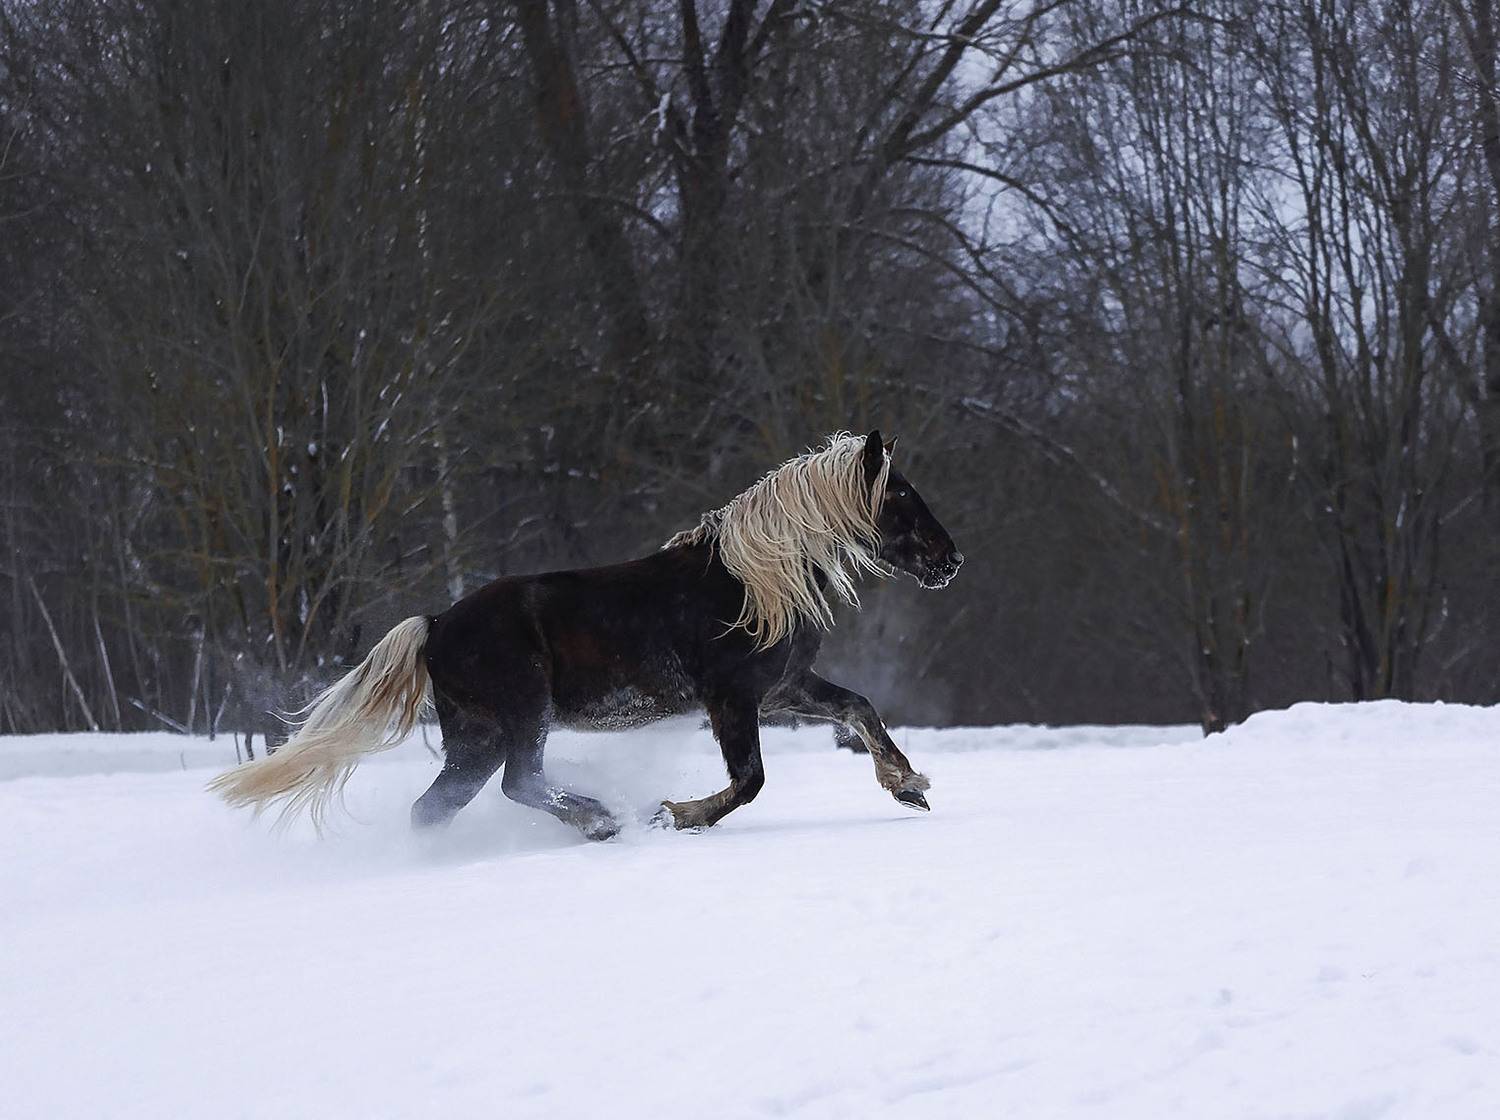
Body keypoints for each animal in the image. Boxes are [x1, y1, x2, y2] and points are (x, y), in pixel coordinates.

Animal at [209, 430, 963, 839]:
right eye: (899, 496)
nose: (950, 559)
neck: (751, 585)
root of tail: (435, 625)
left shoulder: (783, 688)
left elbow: (859, 708)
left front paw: (908, 785)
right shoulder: (732, 697)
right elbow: (749, 780)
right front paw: (674, 815)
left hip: (475, 735)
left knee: (439, 806)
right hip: (522, 712)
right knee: (521, 782)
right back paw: (605, 821)